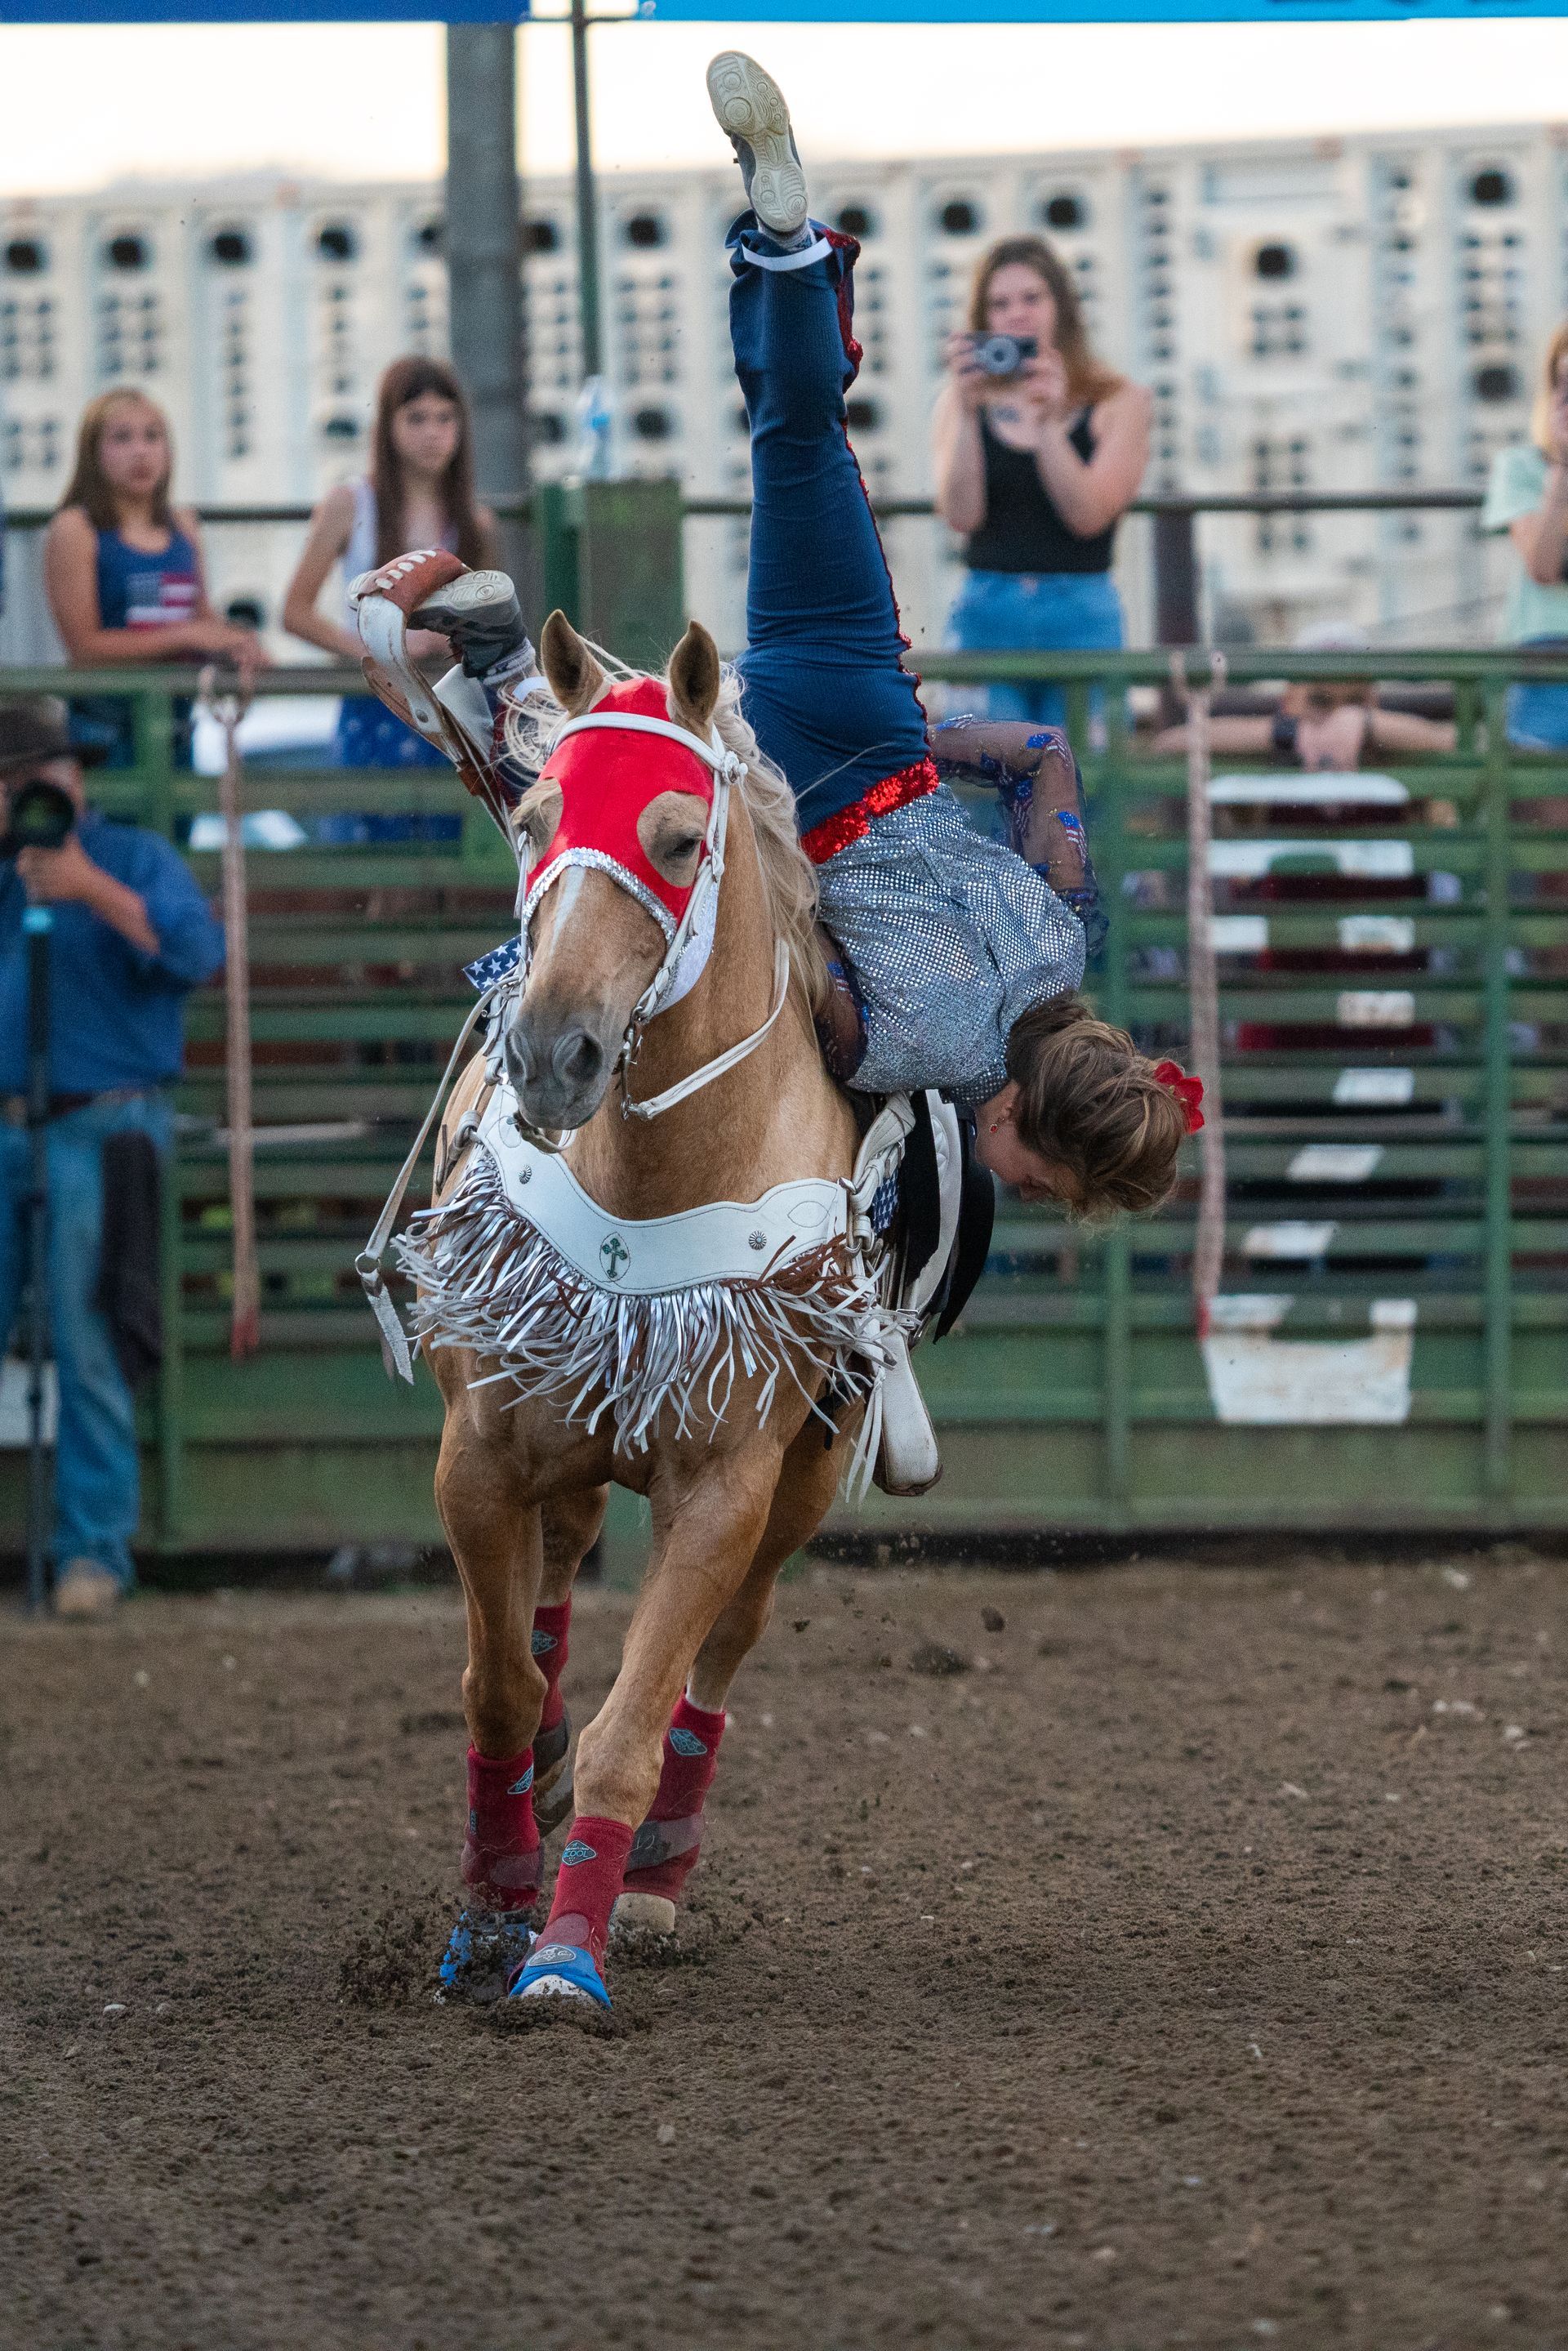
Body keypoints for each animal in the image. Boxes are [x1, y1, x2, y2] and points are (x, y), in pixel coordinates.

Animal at [413, 606, 884, 2003]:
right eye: (533, 820)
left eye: (677, 839)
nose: (551, 1052)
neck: (654, 1171)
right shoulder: (479, 1456)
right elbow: (498, 1689)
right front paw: (491, 1907)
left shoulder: (725, 1489)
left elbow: (640, 1719)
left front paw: (566, 1953)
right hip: (564, 1449)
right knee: (553, 1595)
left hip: (801, 1482)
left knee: (718, 1660)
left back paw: (655, 1882)